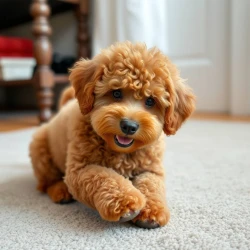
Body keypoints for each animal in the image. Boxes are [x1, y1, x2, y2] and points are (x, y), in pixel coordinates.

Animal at [28, 41, 193, 229]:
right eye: (116, 93)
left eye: (151, 101)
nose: (129, 126)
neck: (121, 152)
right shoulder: (79, 170)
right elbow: (104, 177)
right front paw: (125, 202)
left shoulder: (151, 170)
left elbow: (151, 185)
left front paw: (152, 210)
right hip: (40, 150)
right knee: (46, 182)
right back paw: (60, 190)